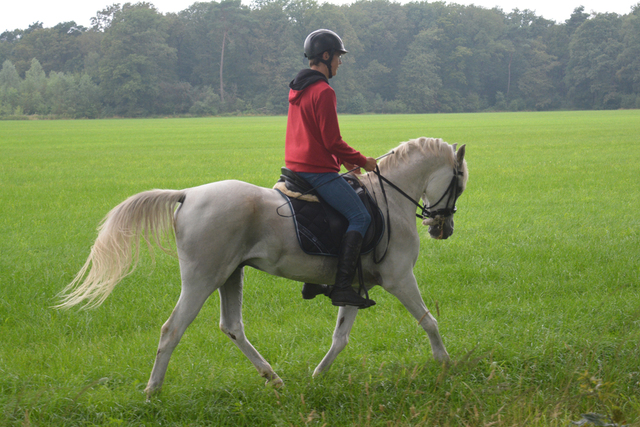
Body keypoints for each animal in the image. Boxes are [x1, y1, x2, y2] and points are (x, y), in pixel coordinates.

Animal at [57, 138, 468, 398]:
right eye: (460, 183)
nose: (443, 228)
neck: (390, 201)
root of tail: (188, 194)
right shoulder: (400, 279)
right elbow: (429, 320)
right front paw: (445, 364)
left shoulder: (354, 285)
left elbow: (340, 338)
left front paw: (318, 377)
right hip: (202, 279)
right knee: (172, 330)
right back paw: (152, 392)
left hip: (230, 275)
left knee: (232, 326)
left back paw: (273, 378)